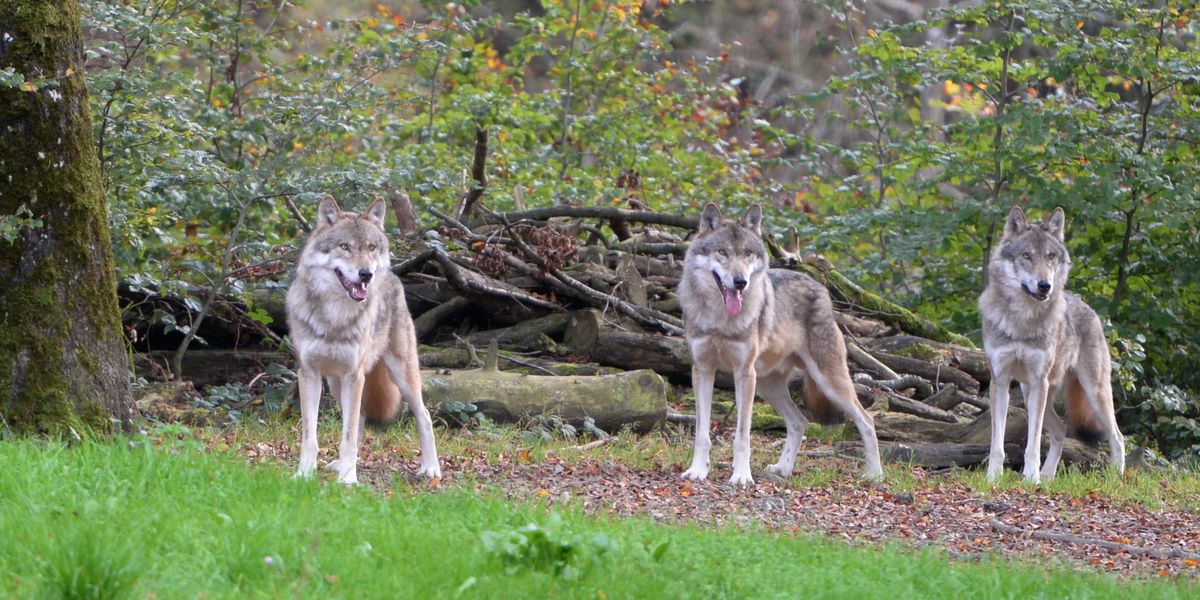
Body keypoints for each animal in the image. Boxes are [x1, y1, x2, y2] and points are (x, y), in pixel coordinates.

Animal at [286, 196, 440, 485]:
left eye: (371, 248)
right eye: (345, 247)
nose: (366, 274)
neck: (335, 318)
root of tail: (394, 275)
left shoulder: (353, 375)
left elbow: (346, 437)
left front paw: (348, 480)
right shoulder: (309, 374)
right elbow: (310, 436)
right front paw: (304, 474)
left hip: (401, 376)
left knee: (424, 416)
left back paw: (431, 469)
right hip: (336, 383)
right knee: (360, 418)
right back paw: (340, 465)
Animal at [678, 203, 883, 486]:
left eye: (747, 253)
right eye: (722, 252)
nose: (741, 281)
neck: (720, 320)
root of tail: (823, 288)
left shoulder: (744, 374)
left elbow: (742, 435)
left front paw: (741, 476)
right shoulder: (702, 370)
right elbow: (702, 433)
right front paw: (697, 471)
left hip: (827, 383)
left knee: (867, 420)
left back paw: (874, 474)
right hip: (768, 385)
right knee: (800, 422)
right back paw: (783, 468)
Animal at [980, 206, 1125, 484]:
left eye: (1050, 257)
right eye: (1027, 256)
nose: (1045, 285)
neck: (1022, 322)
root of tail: (1090, 309)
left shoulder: (1039, 382)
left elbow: (1033, 443)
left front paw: (1031, 478)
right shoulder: (1000, 381)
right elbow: (997, 443)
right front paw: (993, 478)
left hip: (1093, 392)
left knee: (1118, 436)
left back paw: (1115, 478)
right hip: (1030, 391)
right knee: (1061, 429)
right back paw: (1048, 475)